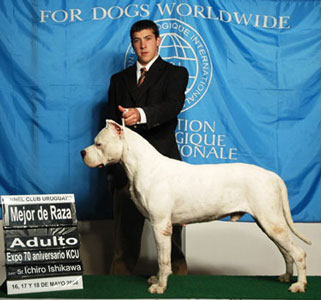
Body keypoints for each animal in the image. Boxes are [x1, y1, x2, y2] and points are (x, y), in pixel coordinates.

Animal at [80, 119, 310, 292]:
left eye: (98, 144)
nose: (83, 152)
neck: (141, 166)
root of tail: (273, 175)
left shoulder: (160, 225)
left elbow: (163, 259)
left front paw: (160, 286)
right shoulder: (160, 226)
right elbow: (162, 256)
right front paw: (157, 278)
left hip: (271, 222)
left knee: (298, 252)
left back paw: (299, 285)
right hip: (269, 224)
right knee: (286, 252)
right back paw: (286, 277)